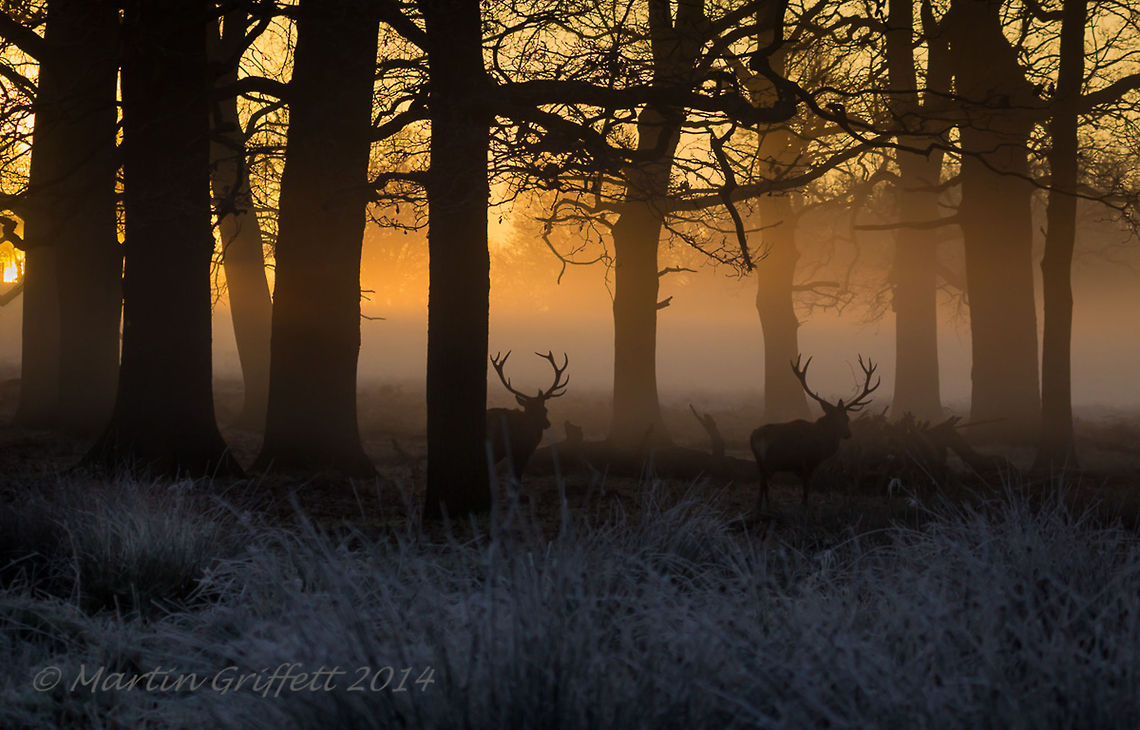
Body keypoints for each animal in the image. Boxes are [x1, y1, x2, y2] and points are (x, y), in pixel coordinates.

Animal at [750, 355, 880, 511]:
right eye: (833, 418)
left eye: (847, 417)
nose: (848, 434)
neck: (822, 446)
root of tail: (754, 436)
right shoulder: (808, 462)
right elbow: (806, 489)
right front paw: (805, 506)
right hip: (770, 461)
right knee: (764, 483)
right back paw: (764, 507)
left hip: (760, 461)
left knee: (762, 483)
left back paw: (764, 507)